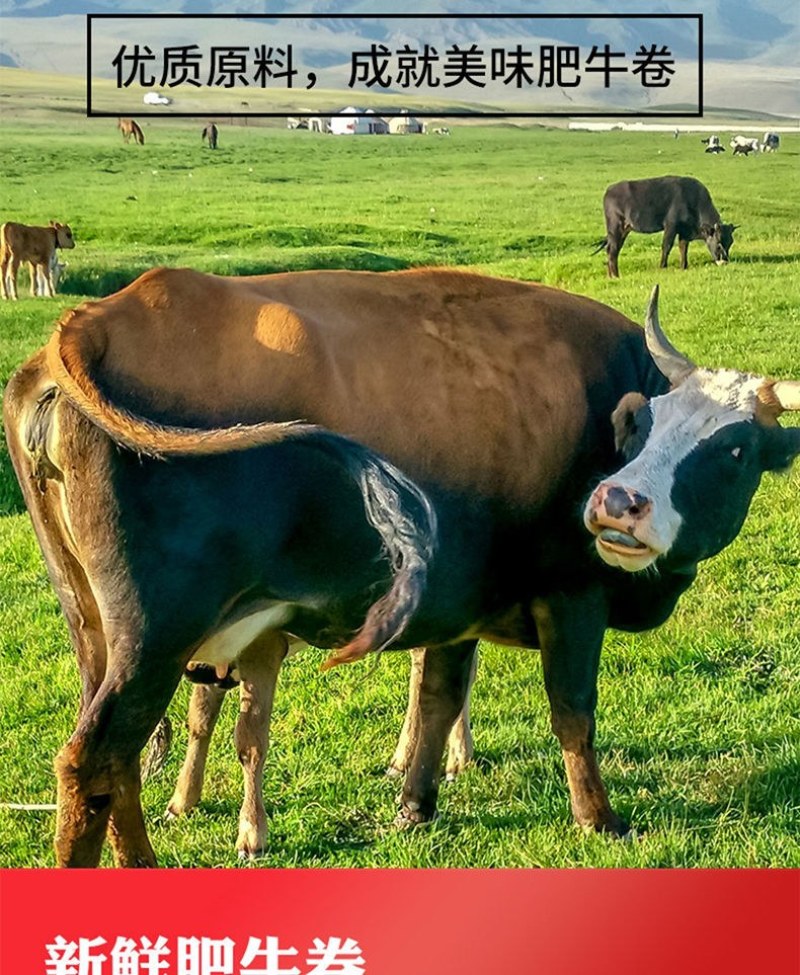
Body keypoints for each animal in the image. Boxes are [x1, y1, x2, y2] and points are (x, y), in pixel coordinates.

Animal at [592, 176, 736, 278]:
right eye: (718, 244)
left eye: (730, 243)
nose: (725, 262)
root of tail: (609, 190)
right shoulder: (671, 225)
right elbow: (667, 246)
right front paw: (662, 266)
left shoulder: (684, 231)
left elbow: (683, 248)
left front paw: (683, 267)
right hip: (615, 228)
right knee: (612, 250)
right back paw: (616, 276)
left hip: (623, 230)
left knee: (613, 250)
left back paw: (611, 276)